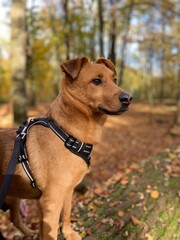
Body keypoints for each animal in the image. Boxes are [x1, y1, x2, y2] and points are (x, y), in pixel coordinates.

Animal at [0, 57, 131, 239]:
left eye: (115, 80)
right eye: (96, 81)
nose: (128, 98)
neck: (67, 135)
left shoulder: (67, 191)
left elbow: (66, 214)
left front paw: (68, 233)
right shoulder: (51, 202)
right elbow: (50, 233)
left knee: (15, 219)